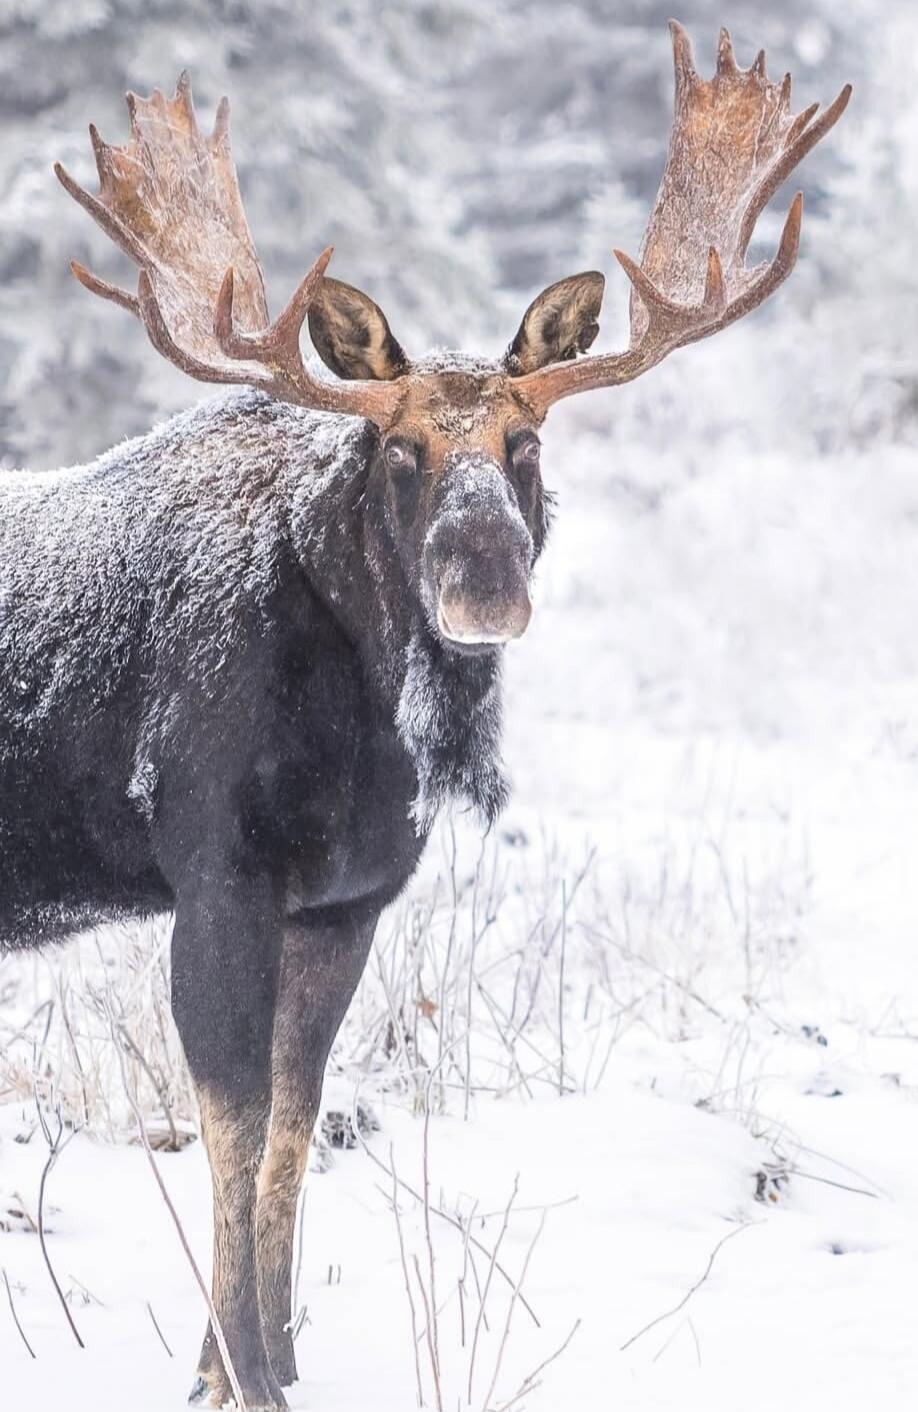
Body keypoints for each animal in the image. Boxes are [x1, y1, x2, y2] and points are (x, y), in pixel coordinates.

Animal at [0, 21, 848, 1410]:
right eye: (400, 450)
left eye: (527, 443)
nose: (486, 578)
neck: (364, 737)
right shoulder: (217, 874)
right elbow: (233, 1124)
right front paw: (244, 1370)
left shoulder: (347, 900)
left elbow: (295, 1120)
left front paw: (254, 1357)